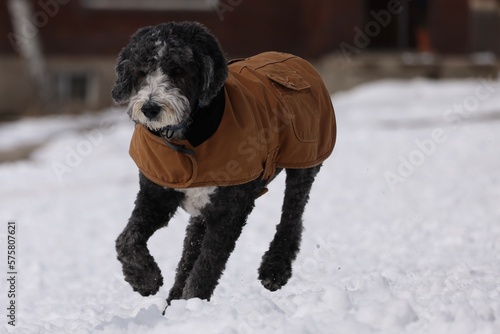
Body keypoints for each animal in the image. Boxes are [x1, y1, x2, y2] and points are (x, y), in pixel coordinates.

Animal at [112, 20, 336, 308]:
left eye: (177, 70)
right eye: (141, 72)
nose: (150, 108)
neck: (189, 137)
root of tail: (297, 59)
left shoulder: (230, 211)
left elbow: (207, 267)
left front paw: (193, 304)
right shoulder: (155, 197)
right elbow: (126, 240)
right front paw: (144, 279)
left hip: (304, 163)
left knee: (291, 216)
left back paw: (275, 268)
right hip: (202, 207)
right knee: (189, 249)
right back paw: (172, 302)